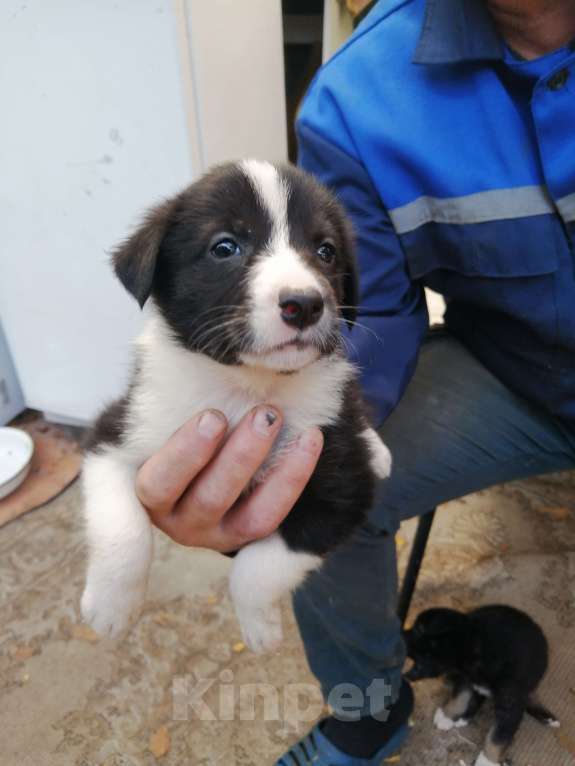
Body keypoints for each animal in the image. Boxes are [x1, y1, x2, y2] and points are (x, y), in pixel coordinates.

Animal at [80, 160, 392, 656]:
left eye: (325, 250)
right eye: (225, 246)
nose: (305, 304)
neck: (248, 387)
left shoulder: (342, 493)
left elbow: (256, 568)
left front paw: (260, 628)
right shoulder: (120, 428)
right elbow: (122, 528)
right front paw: (111, 610)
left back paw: (378, 451)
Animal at [402, 608, 560, 766]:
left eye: (419, 629)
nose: (400, 632)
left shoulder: (511, 702)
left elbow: (499, 735)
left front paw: (487, 760)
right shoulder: (464, 678)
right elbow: (460, 698)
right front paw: (448, 715)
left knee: (529, 696)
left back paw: (546, 716)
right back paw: (464, 717)